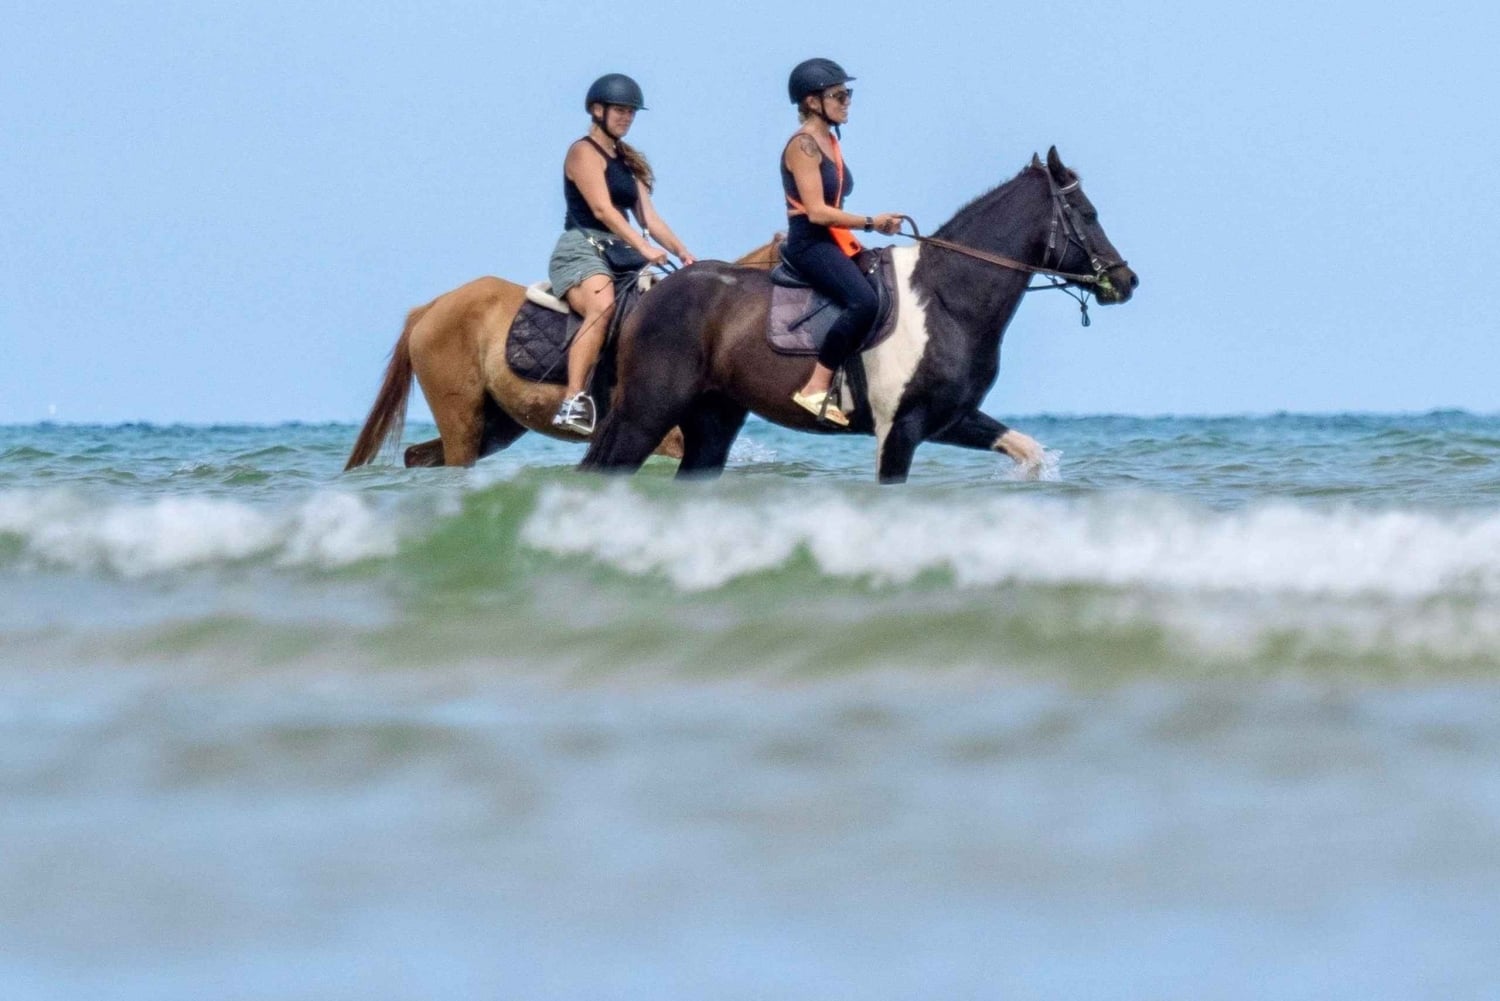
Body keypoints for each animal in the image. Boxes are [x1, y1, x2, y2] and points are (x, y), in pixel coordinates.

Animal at [580, 147, 1138, 483]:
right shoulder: (901, 427)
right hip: (647, 412)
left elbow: (1027, 449)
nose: (1127, 281)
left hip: (711, 420)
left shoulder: (949, 418)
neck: (946, 298)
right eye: (1088, 214)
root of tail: (652, 291)